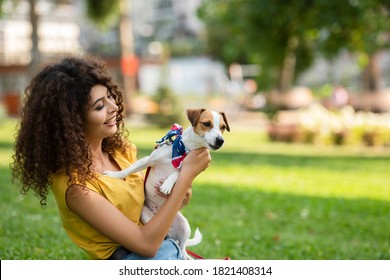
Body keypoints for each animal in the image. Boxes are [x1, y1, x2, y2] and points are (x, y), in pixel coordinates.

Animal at [104, 108, 232, 260]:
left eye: (223, 127)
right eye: (206, 123)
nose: (220, 140)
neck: (183, 149)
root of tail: (171, 232)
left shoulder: (186, 169)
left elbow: (177, 172)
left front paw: (167, 184)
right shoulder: (148, 160)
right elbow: (129, 169)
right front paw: (114, 175)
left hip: (184, 225)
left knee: (183, 249)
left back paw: (184, 255)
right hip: (146, 216)